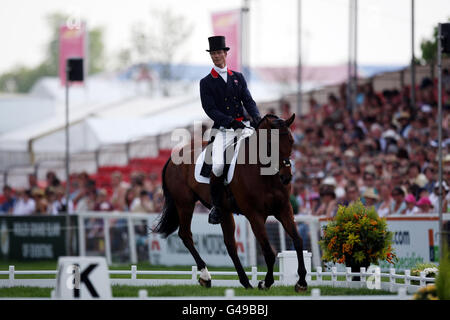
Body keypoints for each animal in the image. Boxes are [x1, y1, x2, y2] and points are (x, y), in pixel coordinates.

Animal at [153, 114, 308, 292]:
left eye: (291, 141)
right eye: (270, 143)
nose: (286, 177)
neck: (264, 174)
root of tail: (173, 157)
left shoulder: (284, 209)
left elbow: (298, 241)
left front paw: (301, 282)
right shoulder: (254, 215)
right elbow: (269, 252)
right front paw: (266, 282)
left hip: (224, 212)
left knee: (230, 244)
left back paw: (245, 282)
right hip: (184, 204)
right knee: (186, 235)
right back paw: (206, 277)